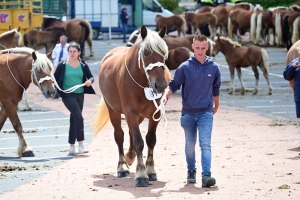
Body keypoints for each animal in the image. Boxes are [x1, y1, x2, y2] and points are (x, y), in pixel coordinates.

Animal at [92, 25, 172, 187]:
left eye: (164, 53)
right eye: (146, 53)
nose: (160, 85)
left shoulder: (154, 114)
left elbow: (150, 140)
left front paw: (150, 170)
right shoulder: (130, 112)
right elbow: (139, 141)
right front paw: (141, 174)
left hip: (139, 116)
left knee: (130, 133)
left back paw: (130, 156)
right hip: (114, 111)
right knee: (120, 135)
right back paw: (122, 166)